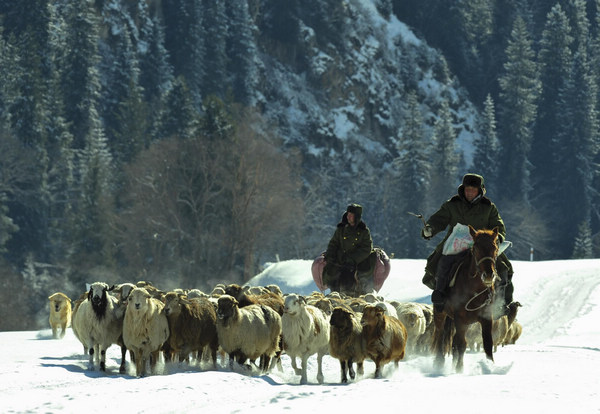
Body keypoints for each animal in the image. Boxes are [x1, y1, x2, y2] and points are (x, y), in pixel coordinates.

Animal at [432, 225, 502, 374]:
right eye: (475, 248)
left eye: (495, 248)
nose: (489, 275)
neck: (474, 289)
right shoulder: (460, 318)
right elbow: (462, 344)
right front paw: (460, 368)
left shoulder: (487, 318)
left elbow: (487, 343)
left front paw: (490, 366)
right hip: (440, 314)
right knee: (441, 336)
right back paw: (439, 363)